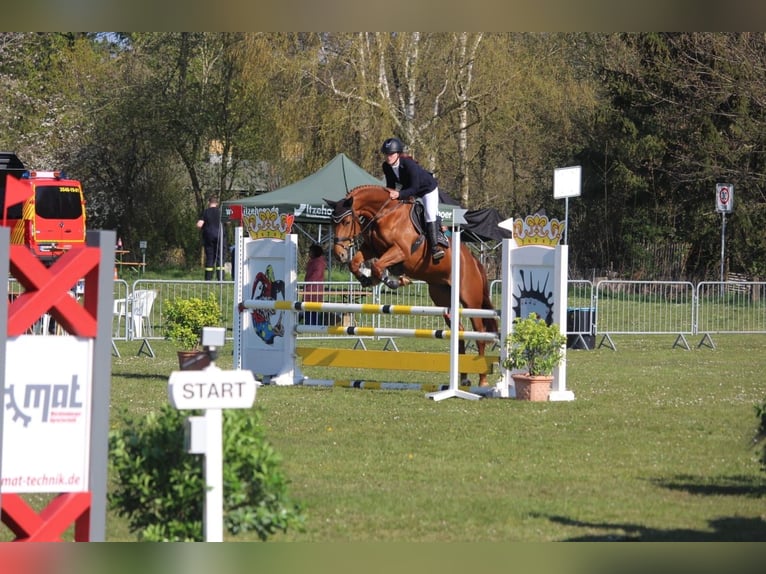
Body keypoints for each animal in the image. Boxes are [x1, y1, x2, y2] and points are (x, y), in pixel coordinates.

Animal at [324, 187, 498, 388]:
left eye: (346, 221)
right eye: (331, 222)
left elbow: (377, 266)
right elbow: (356, 264)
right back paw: (463, 377)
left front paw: (393, 280)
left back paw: (482, 380)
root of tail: (474, 262)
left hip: (471, 300)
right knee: (460, 331)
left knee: (480, 334)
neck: (385, 214)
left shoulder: (400, 251)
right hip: (443, 299)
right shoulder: (372, 249)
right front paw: (369, 279)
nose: (339, 254)